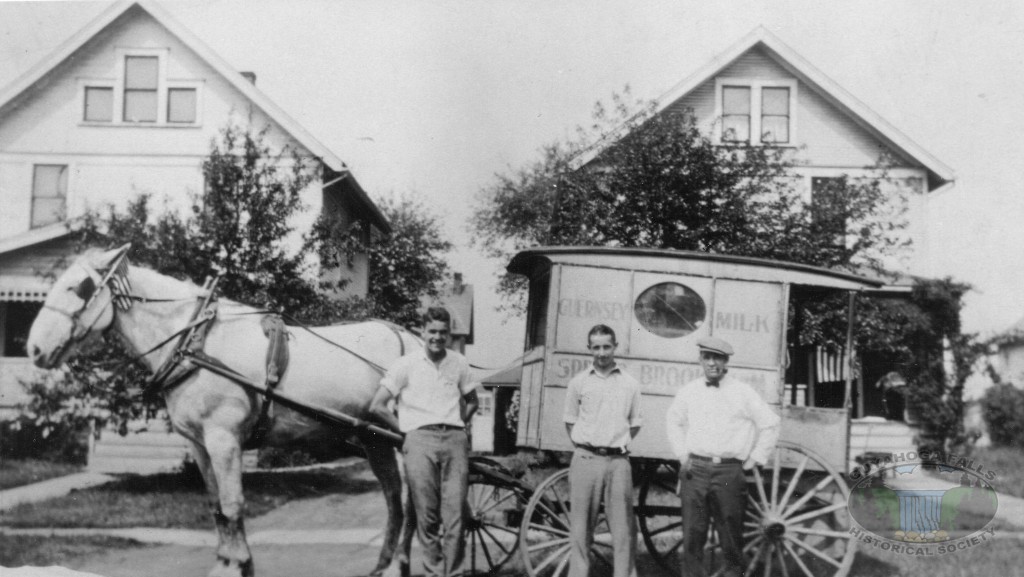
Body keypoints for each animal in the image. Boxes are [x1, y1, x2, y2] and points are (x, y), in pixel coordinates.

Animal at [28, 244, 419, 577]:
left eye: (79, 287)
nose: (33, 349)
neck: (193, 345)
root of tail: (412, 341)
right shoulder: (199, 444)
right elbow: (216, 505)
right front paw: (225, 562)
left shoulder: (224, 439)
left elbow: (233, 504)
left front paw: (241, 565)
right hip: (376, 442)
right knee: (394, 498)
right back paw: (384, 565)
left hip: (408, 441)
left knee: (414, 499)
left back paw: (402, 562)